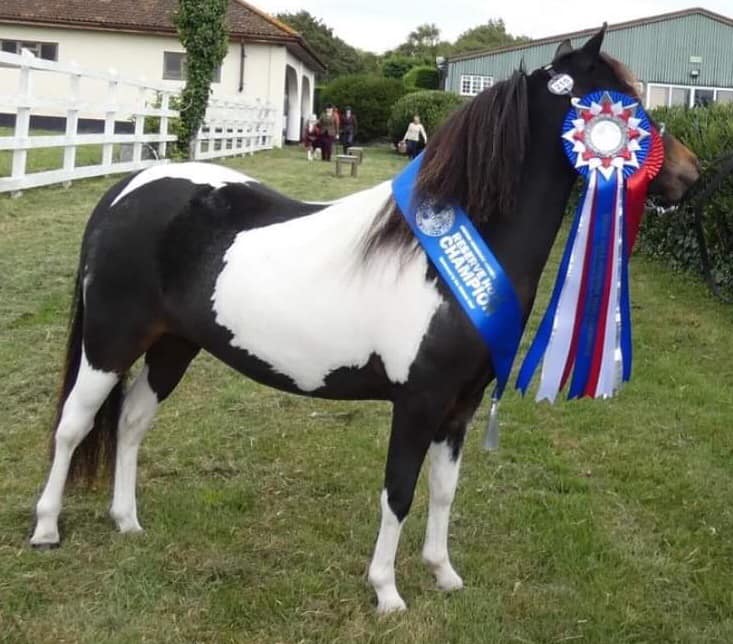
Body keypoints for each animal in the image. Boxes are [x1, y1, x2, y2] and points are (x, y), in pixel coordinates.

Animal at [30, 31, 696, 612]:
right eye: (622, 103)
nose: (688, 176)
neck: (447, 261)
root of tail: (127, 189)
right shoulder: (419, 403)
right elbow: (398, 492)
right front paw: (387, 592)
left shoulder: (460, 405)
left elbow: (444, 489)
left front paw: (443, 574)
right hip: (109, 344)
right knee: (73, 425)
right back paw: (46, 528)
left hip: (173, 347)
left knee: (132, 421)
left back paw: (127, 521)